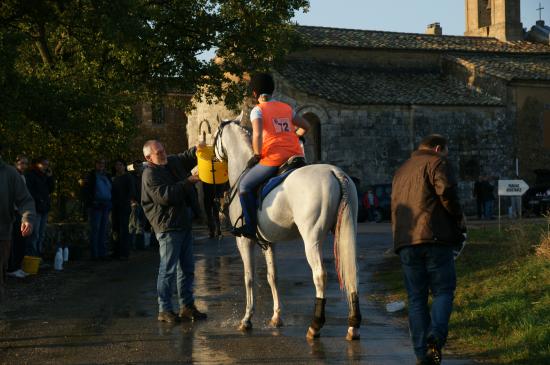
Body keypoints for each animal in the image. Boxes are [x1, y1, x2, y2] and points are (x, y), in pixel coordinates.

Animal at [215, 118, 362, 340]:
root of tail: (334, 173)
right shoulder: (268, 242)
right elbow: (272, 276)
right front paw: (276, 317)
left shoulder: (244, 241)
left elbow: (249, 278)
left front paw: (247, 319)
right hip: (346, 233)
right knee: (352, 272)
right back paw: (353, 326)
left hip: (311, 240)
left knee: (320, 275)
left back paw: (315, 325)